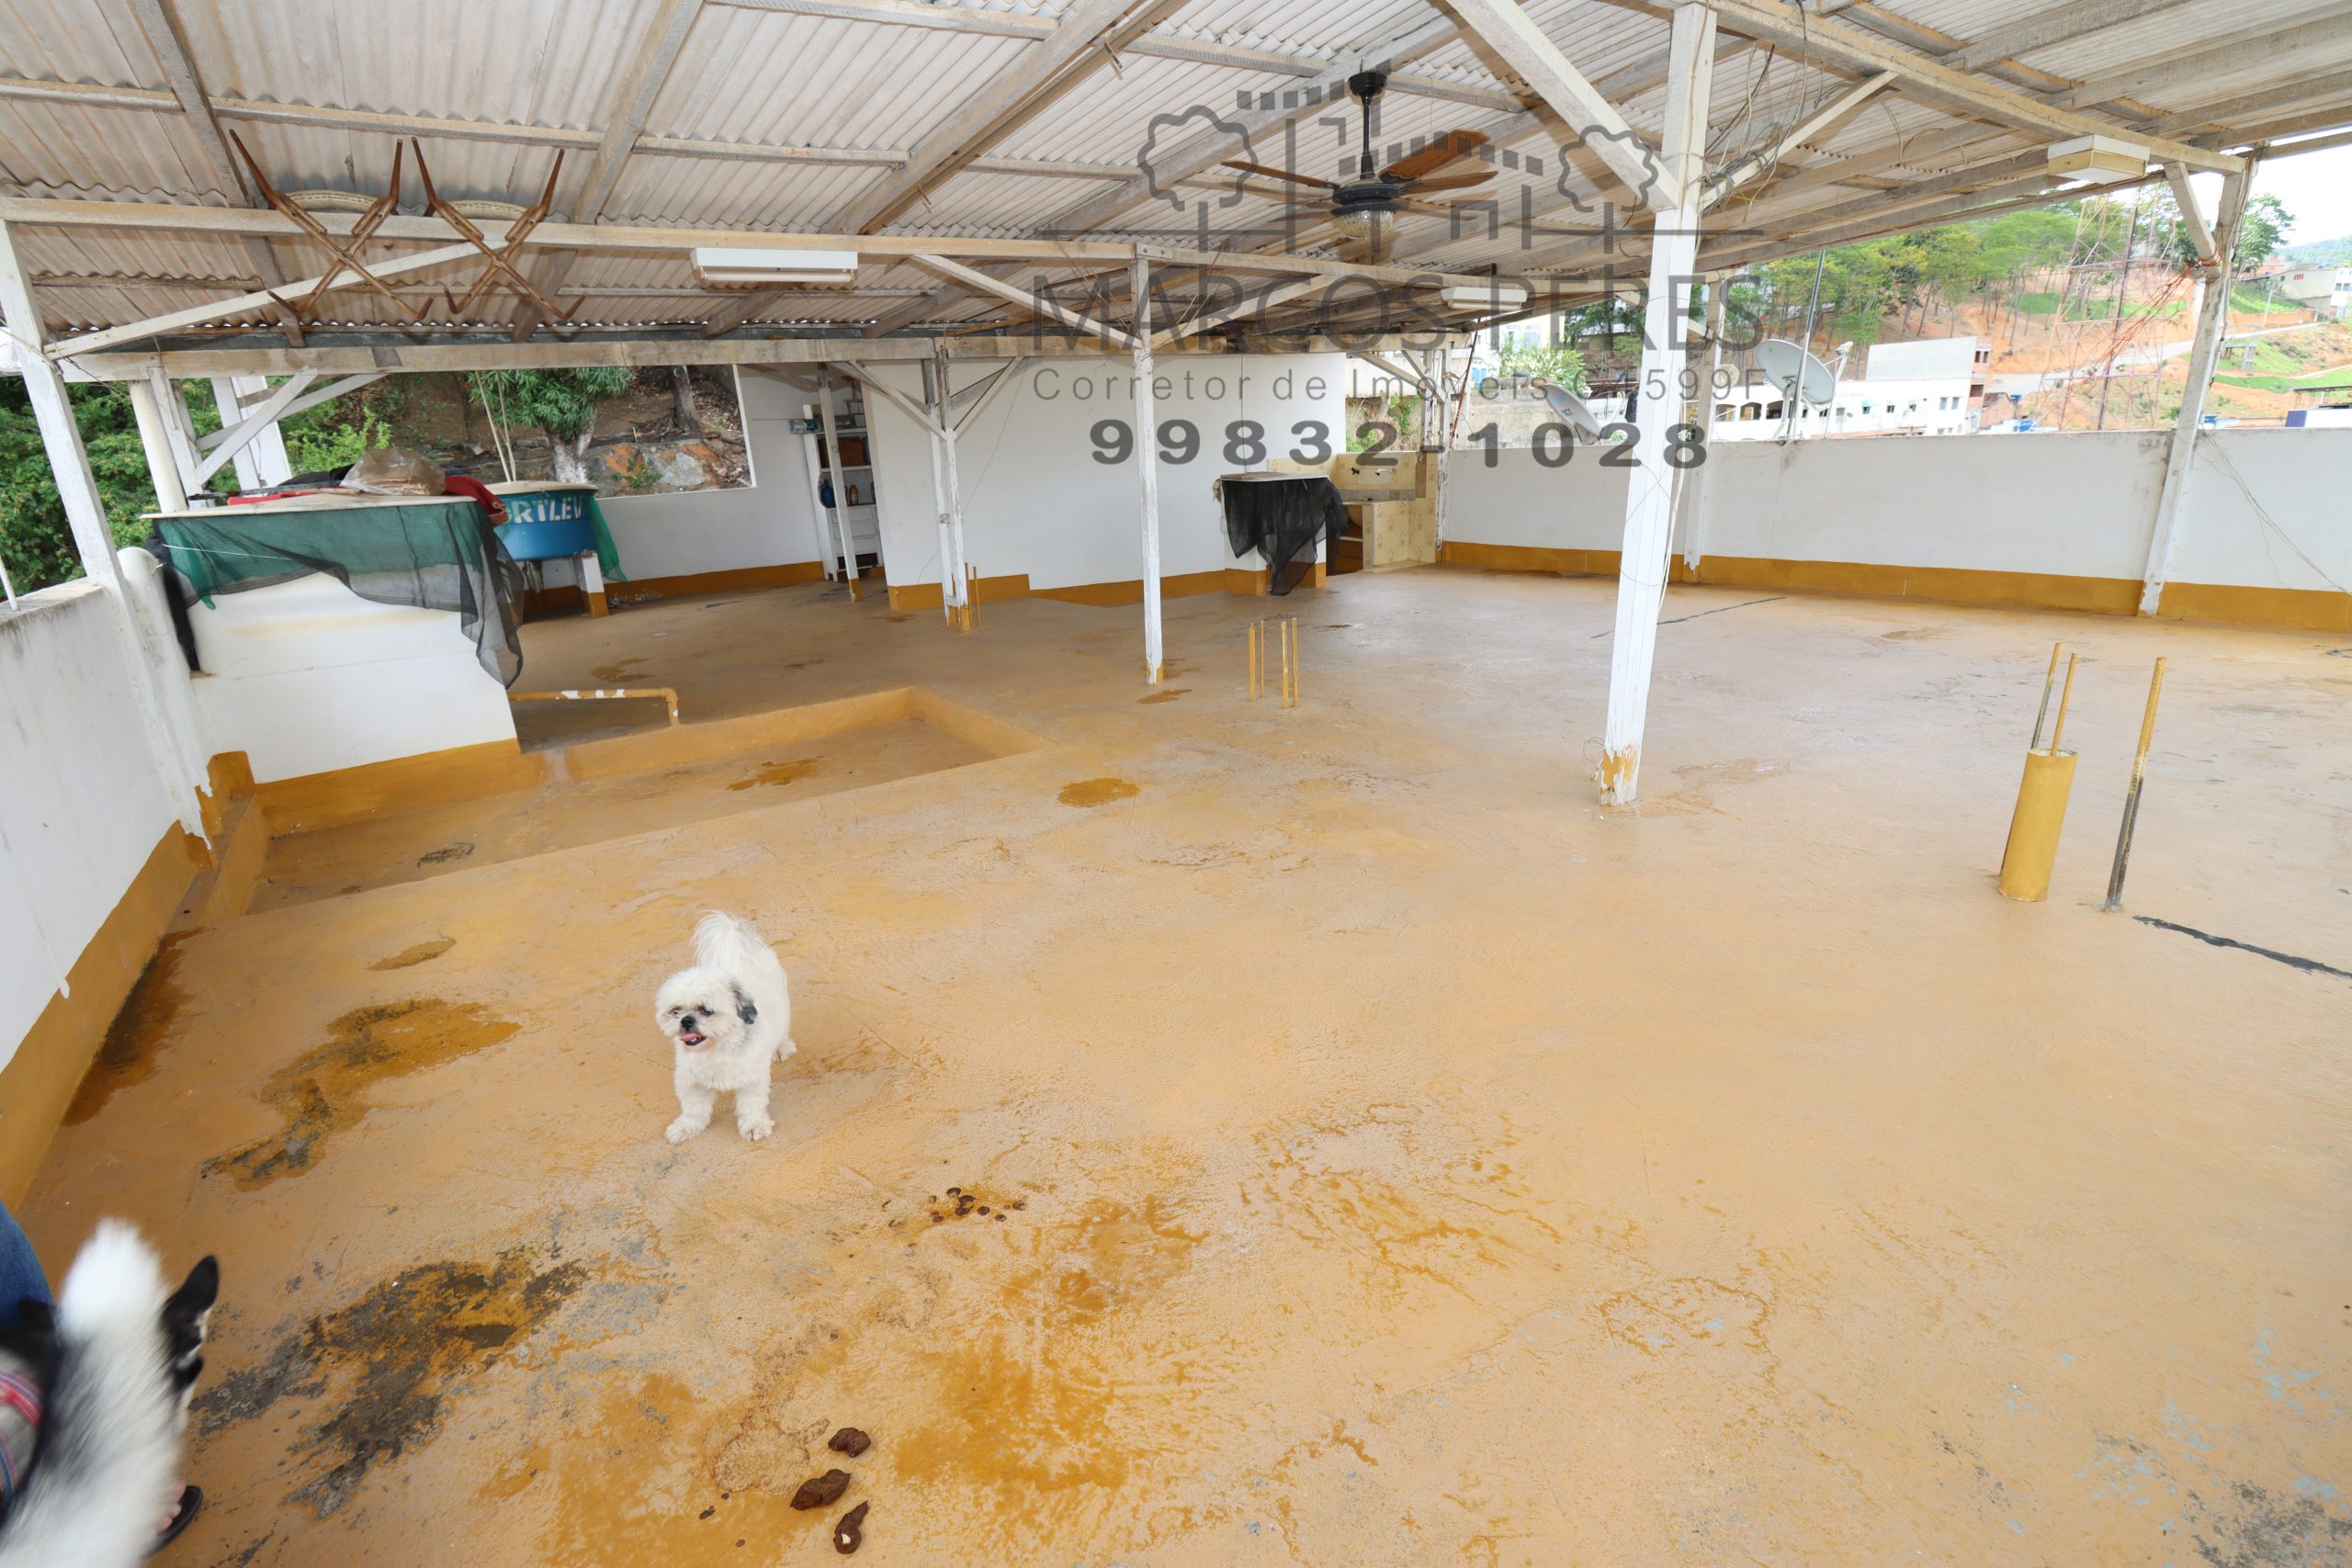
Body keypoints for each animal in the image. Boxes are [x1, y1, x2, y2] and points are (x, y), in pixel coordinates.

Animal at [654, 912, 795, 1144]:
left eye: (705, 1010)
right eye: (676, 1011)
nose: (686, 1020)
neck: (717, 1049)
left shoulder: (752, 1079)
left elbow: (751, 1106)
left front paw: (754, 1126)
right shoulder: (690, 1082)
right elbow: (693, 1110)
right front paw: (686, 1127)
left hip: (783, 1011)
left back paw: (781, 1049)